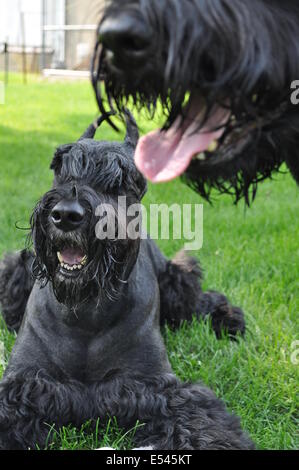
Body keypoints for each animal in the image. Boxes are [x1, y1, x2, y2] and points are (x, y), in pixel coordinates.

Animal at [0, 112, 253, 450]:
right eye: (60, 168)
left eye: (122, 180)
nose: (65, 215)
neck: (87, 311)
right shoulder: (25, 381)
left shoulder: (152, 385)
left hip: (176, 282)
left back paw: (229, 321)